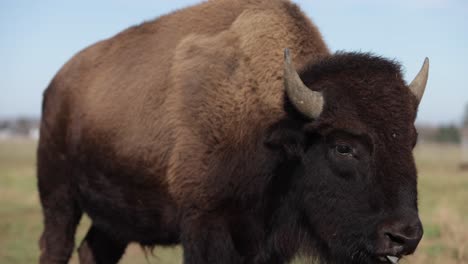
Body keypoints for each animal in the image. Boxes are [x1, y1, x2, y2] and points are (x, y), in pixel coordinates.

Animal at [38, 0, 430, 264]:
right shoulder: (204, 225)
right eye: (343, 147)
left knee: (93, 249)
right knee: (56, 245)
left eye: (411, 140)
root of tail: (56, 85)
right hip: (59, 196)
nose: (404, 236)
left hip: (114, 215)